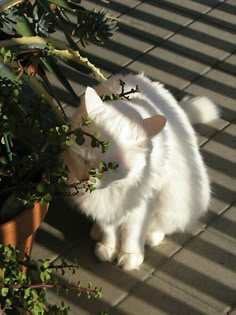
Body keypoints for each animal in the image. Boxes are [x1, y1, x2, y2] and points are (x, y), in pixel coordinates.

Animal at [63, 74, 219, 272]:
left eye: (110, 167)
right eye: (82, 158)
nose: (85, 179)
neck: (114, 189)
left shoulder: (141, 206)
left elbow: (132, 233)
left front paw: (130, 256)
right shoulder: (106, 208)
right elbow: (109, 230)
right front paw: (108, 247)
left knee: (161, 225)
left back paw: (152, 236)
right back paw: (96, 231)